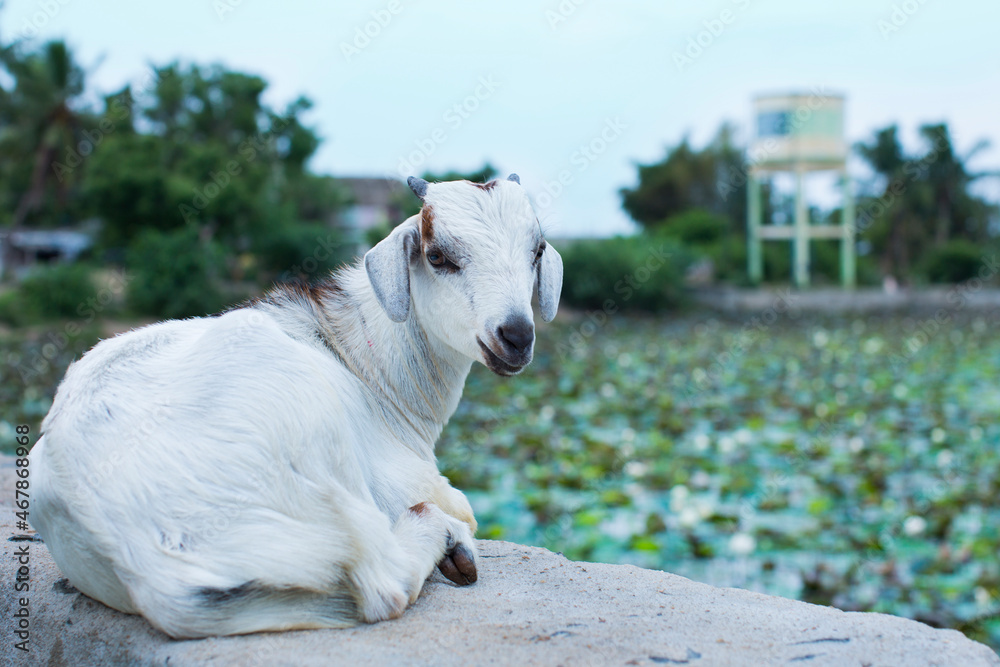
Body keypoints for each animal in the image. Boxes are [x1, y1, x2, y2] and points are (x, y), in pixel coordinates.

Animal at [29, 175, 563, 638]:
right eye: (437, 255)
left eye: (536, 251)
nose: (516, 336)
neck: (366, 365)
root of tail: (149, 566)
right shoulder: (409, 478)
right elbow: (465, 507)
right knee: (383, 582)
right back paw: (443, 540)